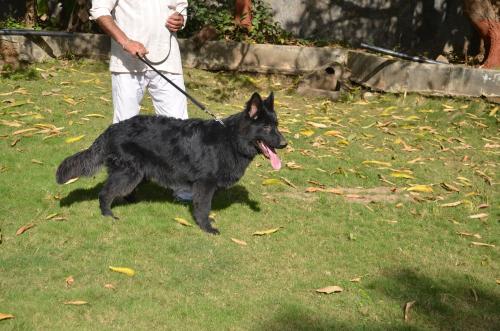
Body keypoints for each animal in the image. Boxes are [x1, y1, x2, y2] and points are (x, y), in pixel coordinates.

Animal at [55, 92, 286, 235]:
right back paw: (108, 214)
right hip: (129, 174)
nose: (285, 143)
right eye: (266, 128)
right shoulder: (204, 184)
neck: (231, 138)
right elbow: (203, 208)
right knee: (105, 193)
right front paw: (207, 228)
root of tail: (111, 129)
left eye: (276, 125)